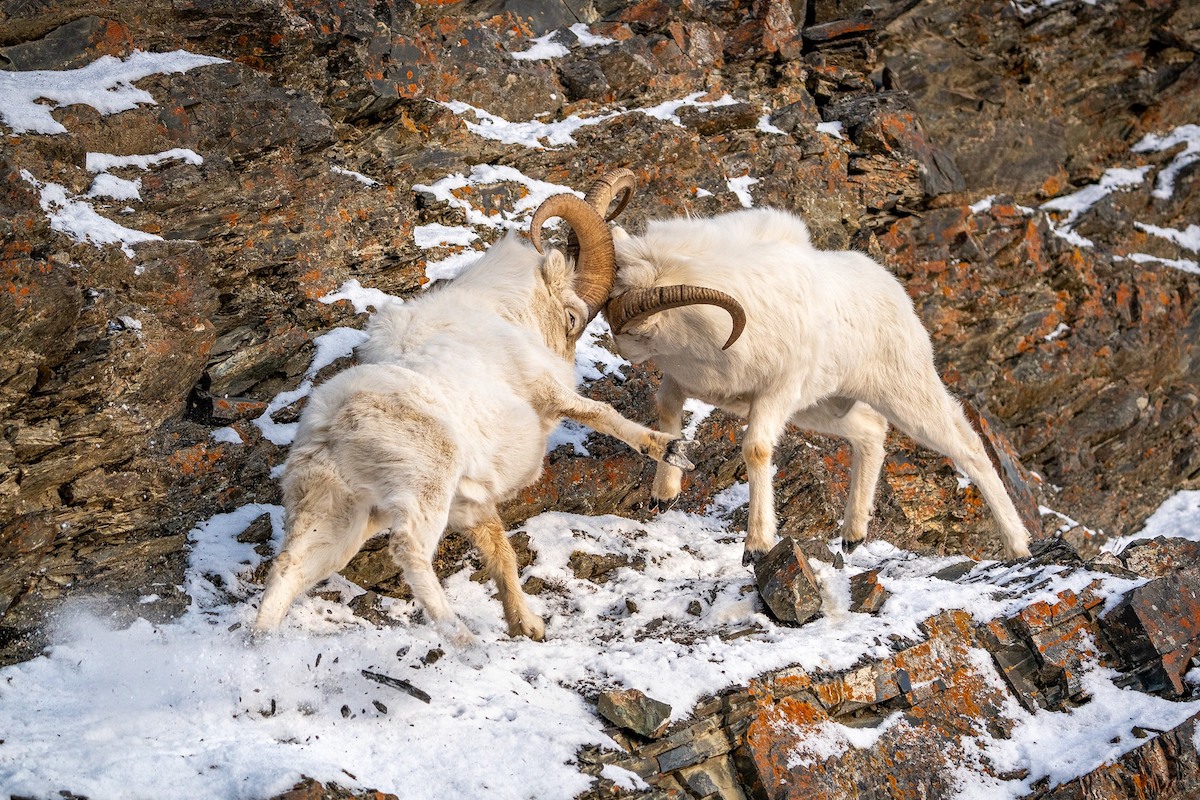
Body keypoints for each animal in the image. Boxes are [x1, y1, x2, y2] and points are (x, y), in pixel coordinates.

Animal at [255, 190, 696, 647]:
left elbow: (500, 554)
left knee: (289, 569)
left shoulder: (471, 505)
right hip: (424, 490)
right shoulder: (544, 391)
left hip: (339, 519)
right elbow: (600, 413)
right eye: (571, 317)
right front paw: (673, 449)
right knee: (409, 550)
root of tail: (334, 427)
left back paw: (260, 644)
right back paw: (462, 639)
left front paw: (526, 626)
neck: (504, 315)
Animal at [590, 173, 1032, 563]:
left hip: (906, 397)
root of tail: (893, 290)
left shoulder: (774, 396)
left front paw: (756, 547)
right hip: (823, 407)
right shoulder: (684, 383)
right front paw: (663, 496)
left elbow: (756, 450)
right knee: (871, 434)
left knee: (969, 449)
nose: (621, 348)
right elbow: (666, 411)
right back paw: (853, 536)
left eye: (632, 326)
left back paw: (1018, 547)